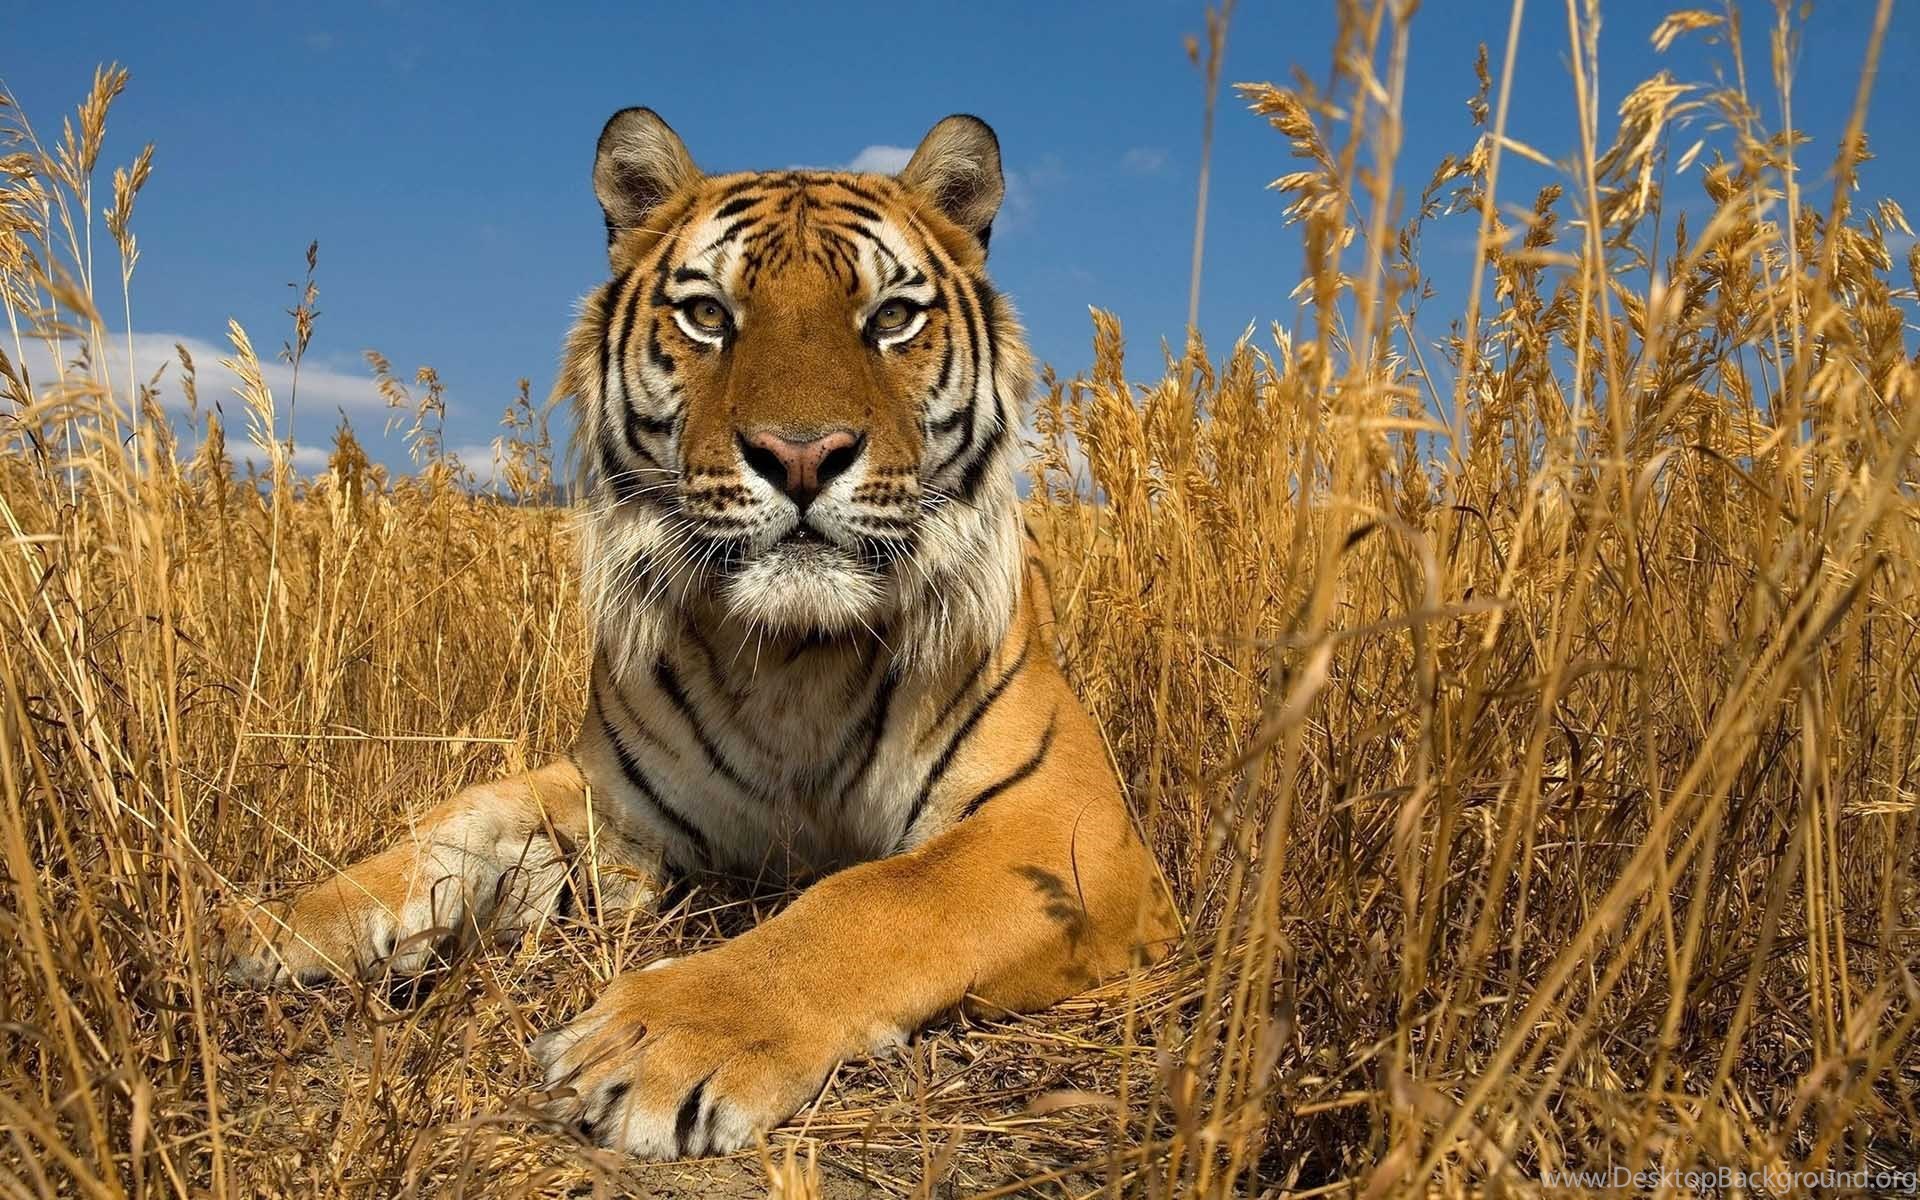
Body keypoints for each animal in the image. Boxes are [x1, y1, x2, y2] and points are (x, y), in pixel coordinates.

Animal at [224, 107, 1182, 1159]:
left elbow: (873, 896)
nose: (800, 455)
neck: (797, 660)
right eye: (709, 316)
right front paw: (279, 923)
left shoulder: (1066, 822)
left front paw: (655, 1043)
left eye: (891, 317)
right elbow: (457, 823)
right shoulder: (615, 807)